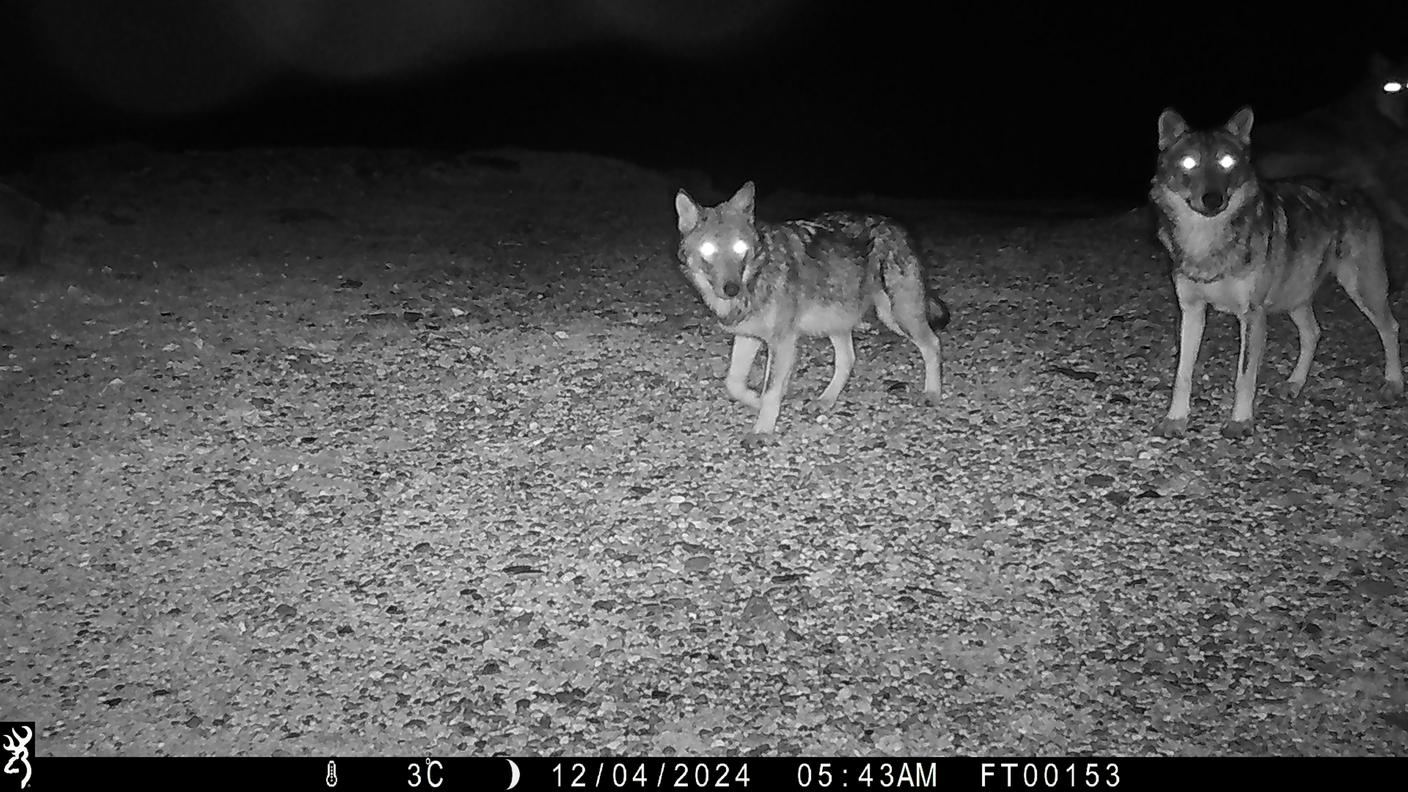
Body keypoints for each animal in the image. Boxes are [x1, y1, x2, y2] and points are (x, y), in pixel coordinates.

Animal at [674, 181, 949, 440]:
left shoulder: (783, 342)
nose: (731, 289)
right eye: (708, 249)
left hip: (897, 315)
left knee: (932, 343)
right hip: (840, 320)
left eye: (740, 248)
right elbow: (733, 383)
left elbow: (771, 390)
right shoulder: (748, 336)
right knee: (848, 360)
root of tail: (896, 226)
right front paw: (756, 401)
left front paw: (763, 429)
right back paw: (826, 400)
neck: (757, 276)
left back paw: (932, 393)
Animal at [1150, 106, 1404, 439]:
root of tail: (1355, 191)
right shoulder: (1191, 310)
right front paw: (1176, 419)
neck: (1205, 241)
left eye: (1227, 162)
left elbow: (1244, 376)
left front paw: (1240, 422)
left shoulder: (1252, 316)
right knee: (1313, 333)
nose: (1213, 199)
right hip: (1294, 296)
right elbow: (1183, 373)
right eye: (1189, 163)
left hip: (1362, 288)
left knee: (1390, 328)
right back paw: (1294, 384)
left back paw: (1394, 383)